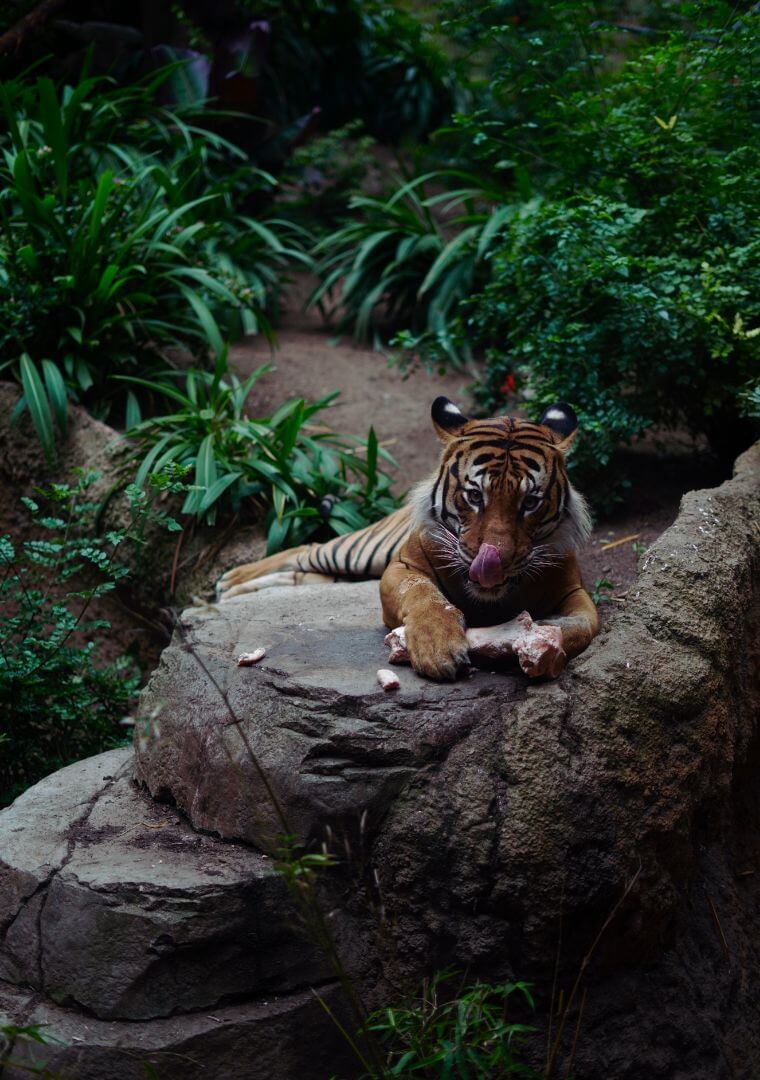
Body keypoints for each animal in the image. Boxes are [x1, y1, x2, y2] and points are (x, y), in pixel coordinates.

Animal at [218, 397, 600, 682]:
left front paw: (535, 647)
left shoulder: (574, 591)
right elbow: (422, 595)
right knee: (307, 549)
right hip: (362, 550)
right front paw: (438, 648)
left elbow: (584, 626)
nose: (494, 563)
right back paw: (230, 581)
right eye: (475, 495)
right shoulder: (401, 566)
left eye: (530, 502)